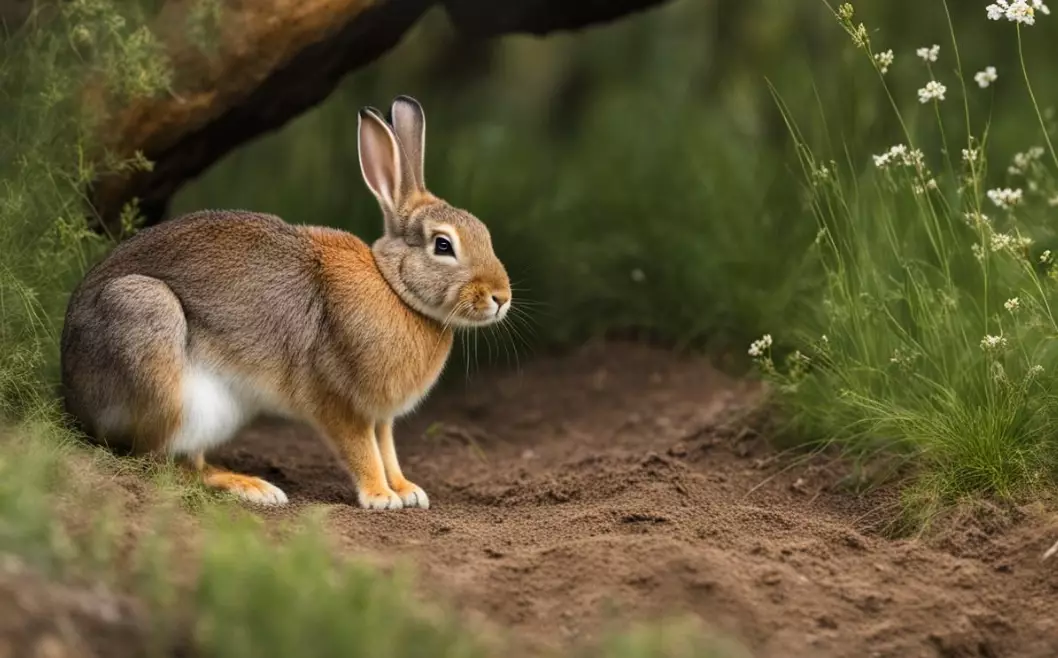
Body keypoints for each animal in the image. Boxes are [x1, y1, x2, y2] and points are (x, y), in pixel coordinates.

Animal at [59, 95, 512, 510]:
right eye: (443, 245)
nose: (501, 298)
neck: (394, 288)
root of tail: (74, 397)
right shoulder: (337, 401)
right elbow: (362, 450)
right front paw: (380, 497)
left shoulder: (381, 416)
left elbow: (387, 449)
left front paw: (407, 490)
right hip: (151, 336)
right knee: (163, 464)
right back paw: (252, 487)